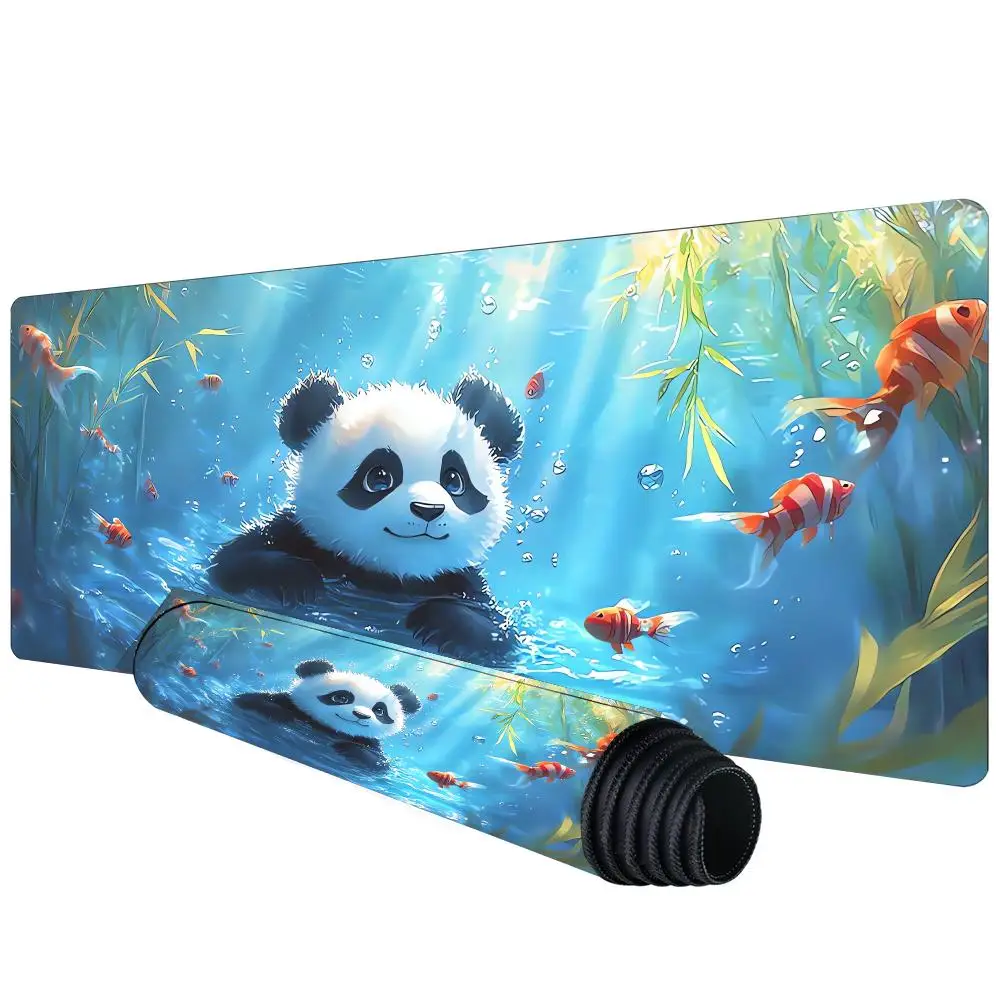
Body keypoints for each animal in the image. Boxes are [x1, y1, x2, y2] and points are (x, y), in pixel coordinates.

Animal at [208, 370, 524, 663]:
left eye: (454, 481)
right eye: (379, 477)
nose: (428, 510)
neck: (388, 576)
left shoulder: (459, 580)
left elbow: (499, 634)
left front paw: (444, 624)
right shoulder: (300, 534)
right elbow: (229, 563)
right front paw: (294, 578)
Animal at [234, 659, 421, 771]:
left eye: (380, 710)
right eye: (341, 697)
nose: (361, 715)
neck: (327, 728)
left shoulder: (368, 742)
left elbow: (378, 764)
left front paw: (347, 747)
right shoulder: (292, 704)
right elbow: (245, 700)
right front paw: (281, 715)